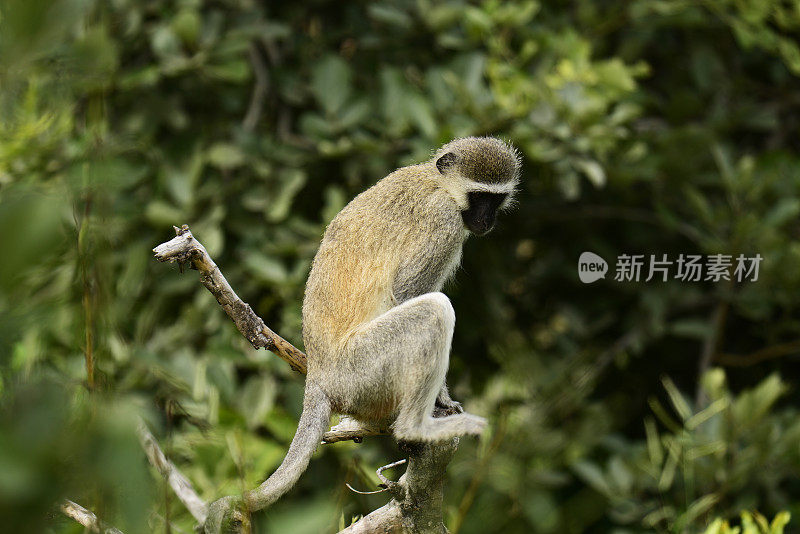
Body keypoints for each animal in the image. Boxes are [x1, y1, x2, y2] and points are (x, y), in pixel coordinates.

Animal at [245, 136, 520, 512]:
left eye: (496, 199)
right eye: (478, 197)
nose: (486, 219)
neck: (438, 184)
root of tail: (318, 376)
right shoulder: (443, 222)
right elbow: (408, 291)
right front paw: (442, 399)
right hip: (362, 371)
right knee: (434, 310)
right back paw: (415, 428)